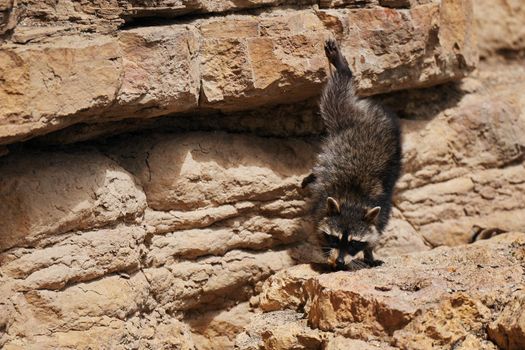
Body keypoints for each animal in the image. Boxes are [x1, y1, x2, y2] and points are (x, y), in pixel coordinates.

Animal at [302, 40, 402, 270]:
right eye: (335, 238)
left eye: (354, 243)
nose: (339, 262)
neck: (353, 201)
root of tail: (375, 109)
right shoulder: (320, 207)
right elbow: (317, 229)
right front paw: (327, 255)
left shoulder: (381, 213)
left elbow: (375, 233)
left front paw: (369, 253)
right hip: (344, 116)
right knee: (336, 95)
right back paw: (344, 70)